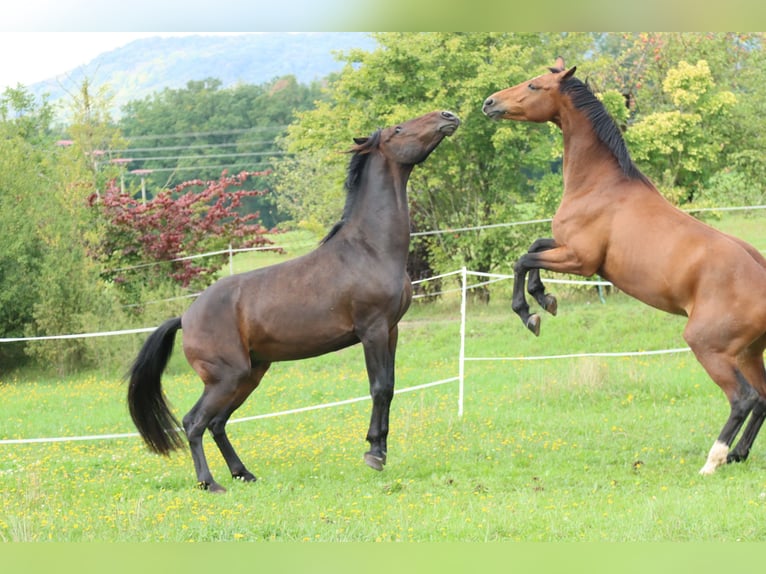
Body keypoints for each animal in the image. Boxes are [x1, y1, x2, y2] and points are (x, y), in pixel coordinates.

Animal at [127, 110, 460, 492]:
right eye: (398, 130)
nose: (448, 116)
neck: (369, 249)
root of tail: (185, 317)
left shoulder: (391, 330)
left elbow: (390, 388)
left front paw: (381, 449)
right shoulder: (372, 330)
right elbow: (379, 387)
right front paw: (374, 454)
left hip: (250, 375)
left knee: (217, 423)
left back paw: (244, 473)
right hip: (227, 378)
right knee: (194, 421)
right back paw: (210, 483)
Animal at [483, 58, 766, 475]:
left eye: (534, 86)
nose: (489, 103)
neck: (601, 184)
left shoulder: (581, 260)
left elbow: (522, 260)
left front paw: (530, 312)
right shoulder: (566, 247)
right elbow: (534, 247)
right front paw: (544, 300)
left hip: (710, 349)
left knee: (743, 398)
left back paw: (713, 461)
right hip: (748, 353)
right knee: (762, 398)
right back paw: (737, 455)